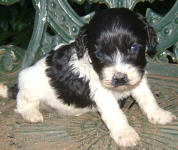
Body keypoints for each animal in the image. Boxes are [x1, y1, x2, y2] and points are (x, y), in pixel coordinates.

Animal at [0, 7, 176, 146]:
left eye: (133, 48)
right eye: (99, 54)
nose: (119, 79)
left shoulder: (137, 78)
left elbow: (148, 99)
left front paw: (159, 115)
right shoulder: (102, 93)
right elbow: (115, 114)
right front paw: (125, 134)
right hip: (30, 85)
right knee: (22, 102)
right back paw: (32, 114)